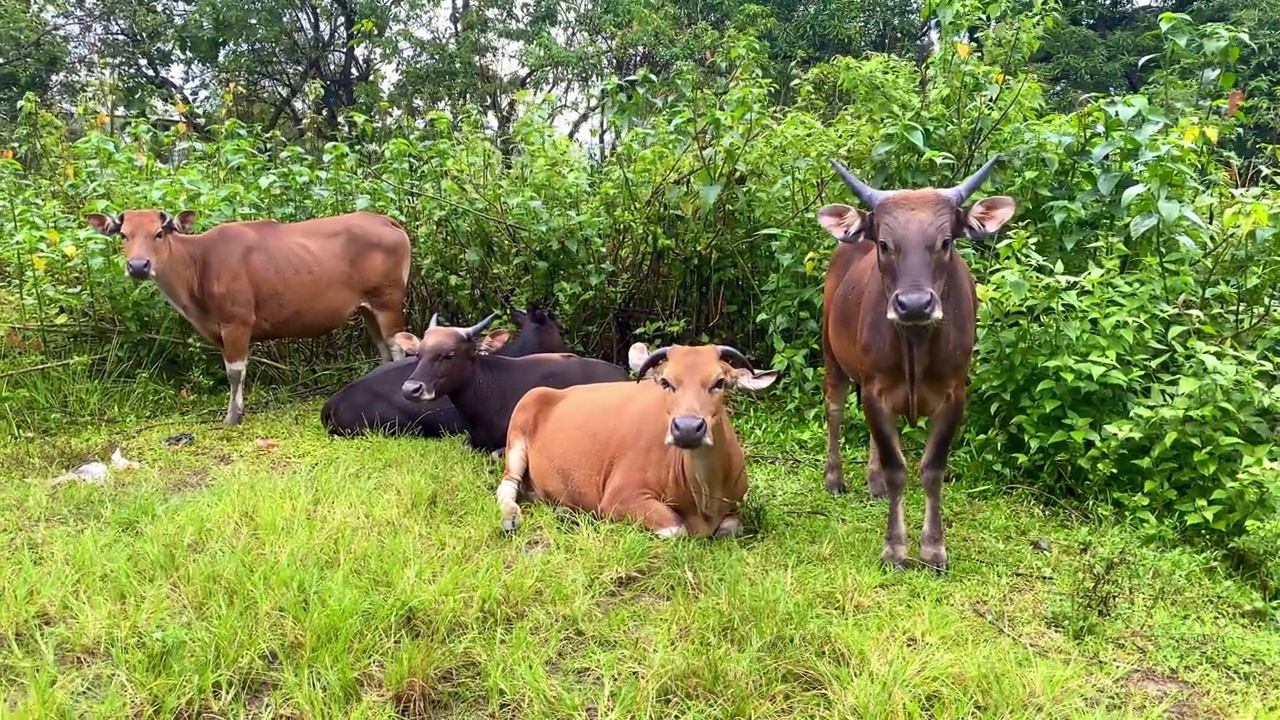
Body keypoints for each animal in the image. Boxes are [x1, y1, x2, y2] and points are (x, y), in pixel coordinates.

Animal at [496, 343, 778, 538]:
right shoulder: (620, 497)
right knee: (508, 485)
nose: (687, 428)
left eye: (719, 382)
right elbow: (676, 529)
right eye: (666, 382)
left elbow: (730, 529)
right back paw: (512, 518)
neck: (703, 495)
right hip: (519, 427)